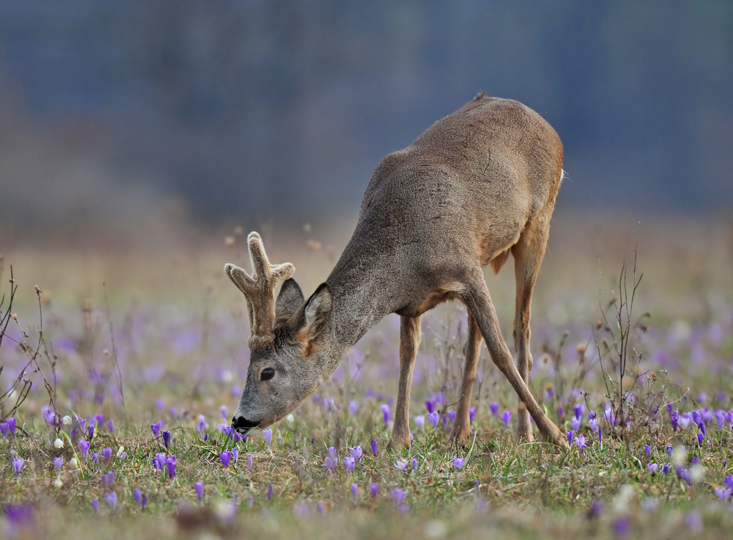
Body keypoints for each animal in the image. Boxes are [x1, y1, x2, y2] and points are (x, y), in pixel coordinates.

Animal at [226, 93, 568, 448]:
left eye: (267, 371)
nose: (238, 421)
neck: (405, 251)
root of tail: (542, 122)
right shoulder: (414, 299)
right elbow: (408, 354)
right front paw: (398, 440)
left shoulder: (465, 269)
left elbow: (500, 353)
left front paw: (556, 435)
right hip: (486, 251)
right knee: (475, 336)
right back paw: (460, 431)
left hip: (539, 221)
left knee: (521, 328)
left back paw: (525, 432)